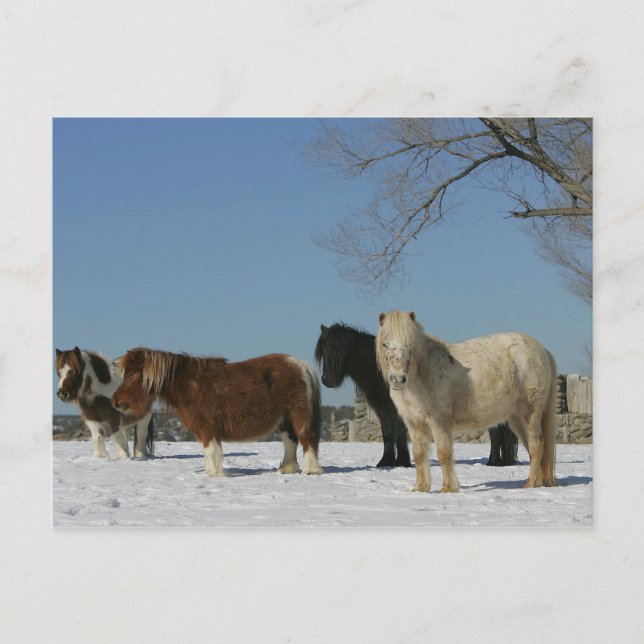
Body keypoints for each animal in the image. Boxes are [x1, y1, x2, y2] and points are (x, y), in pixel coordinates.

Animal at [111, 348, 324, 477]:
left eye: (131, 375)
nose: (115, 401)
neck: (189, 385)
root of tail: (302, 366)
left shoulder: (206, 428)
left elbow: (211, 450)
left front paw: (214, 474)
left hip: (298, 416)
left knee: (307, 439)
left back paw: (311, 470)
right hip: (286, 419)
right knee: (290, 441)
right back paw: (287, 469)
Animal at [315, 323, 411, 467]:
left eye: (336, 351)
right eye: (323, 351)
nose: (326, 380)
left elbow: (399, 429)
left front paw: (403, 462)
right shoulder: (380, 406)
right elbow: (386, 430)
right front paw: (386, 461)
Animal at [376, 311, 557, 492]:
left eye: (410, 344)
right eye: (384, 344)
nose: (398, 379)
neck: (422, 373)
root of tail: (542, 349)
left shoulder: (438, 421)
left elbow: (444, 453)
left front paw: (448, 488)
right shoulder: (414, 423)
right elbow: (419, 456)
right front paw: (420, 489)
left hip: (530, 412)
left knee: (536, 445)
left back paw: (530, 484)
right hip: (516, 418)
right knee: (532, 449)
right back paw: (537, 483)